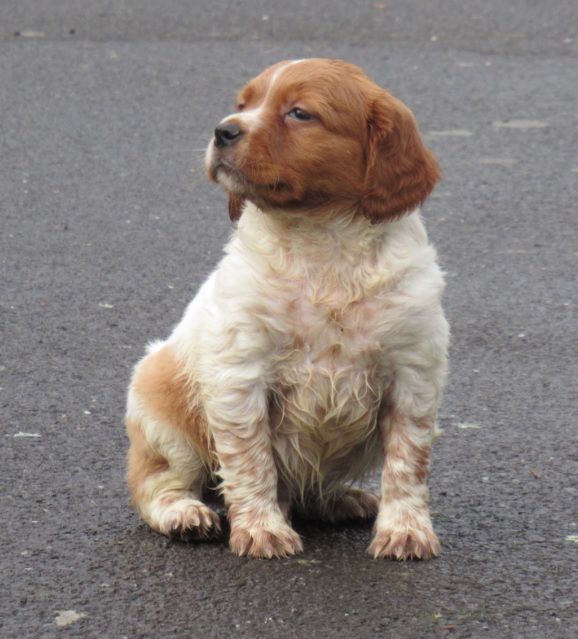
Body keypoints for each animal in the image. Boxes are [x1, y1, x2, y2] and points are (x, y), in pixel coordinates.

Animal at [125, 60, 450, 560]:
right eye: (242, 104)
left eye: (299, 113)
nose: (223, 130)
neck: (323, 243)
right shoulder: (241, 373)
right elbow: (252, 460)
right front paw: (262, 530)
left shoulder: (414, 374)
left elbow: (408, 463)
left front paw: (405, 530)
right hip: (163, 412)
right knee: (156, 482)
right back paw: (185, 514)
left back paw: (343, 499)